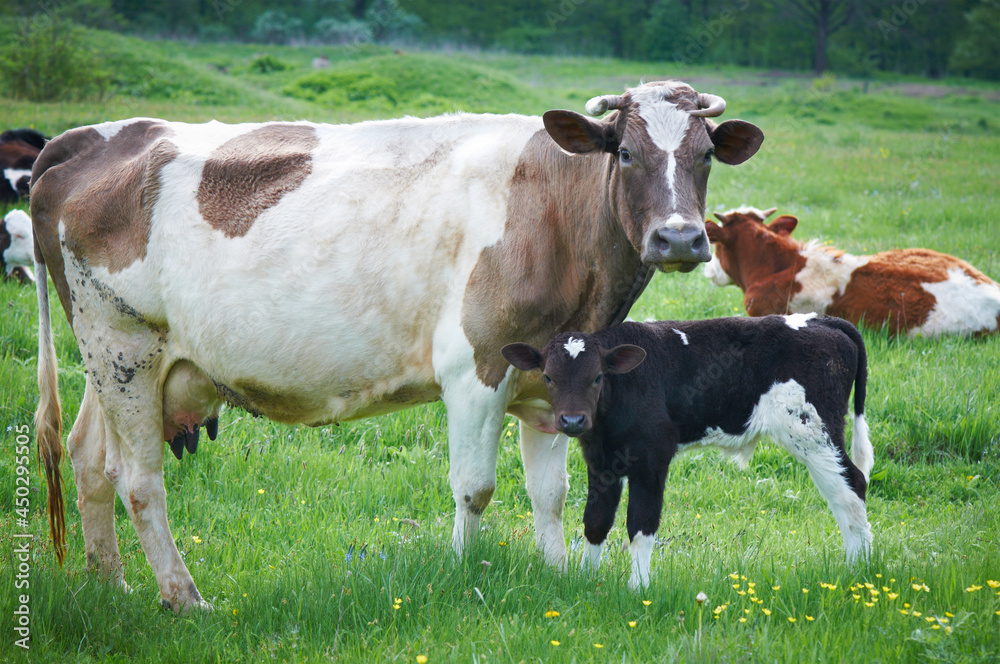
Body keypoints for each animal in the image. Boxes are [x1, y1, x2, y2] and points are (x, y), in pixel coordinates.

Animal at [33, 80, 764, 608]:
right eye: (626, 152)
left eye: (704, 156)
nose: (679, 237)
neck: (553, 209)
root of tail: (93, 137)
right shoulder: (476, 368)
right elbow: (474, 488)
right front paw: (463, 573)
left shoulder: (553, 388)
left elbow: (550, 492)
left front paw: (561, 578)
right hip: (123, 346)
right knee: (139, 481)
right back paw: (184, 598)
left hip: (117, 362)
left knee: (90, 458)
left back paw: (113, 586)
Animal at [504, 314, 872, 588]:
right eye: (548, 377)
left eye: (597, 377)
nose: (573, 419)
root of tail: (821, 320)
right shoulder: (600, 460)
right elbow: (596, 519)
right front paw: (585, 579)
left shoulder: (652, 457)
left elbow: (641, 523)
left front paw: (638, 588)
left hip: (814, 432)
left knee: (850, 489)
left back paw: (859, 571)